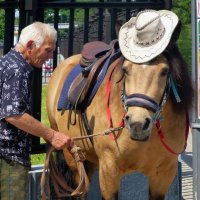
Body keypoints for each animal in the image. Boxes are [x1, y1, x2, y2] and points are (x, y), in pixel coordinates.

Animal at [43, 10, 193, 200]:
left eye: (165, 71)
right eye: (126, 70)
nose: (137, 124)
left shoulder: (164, 175)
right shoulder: (109, 170)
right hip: (73, 157)